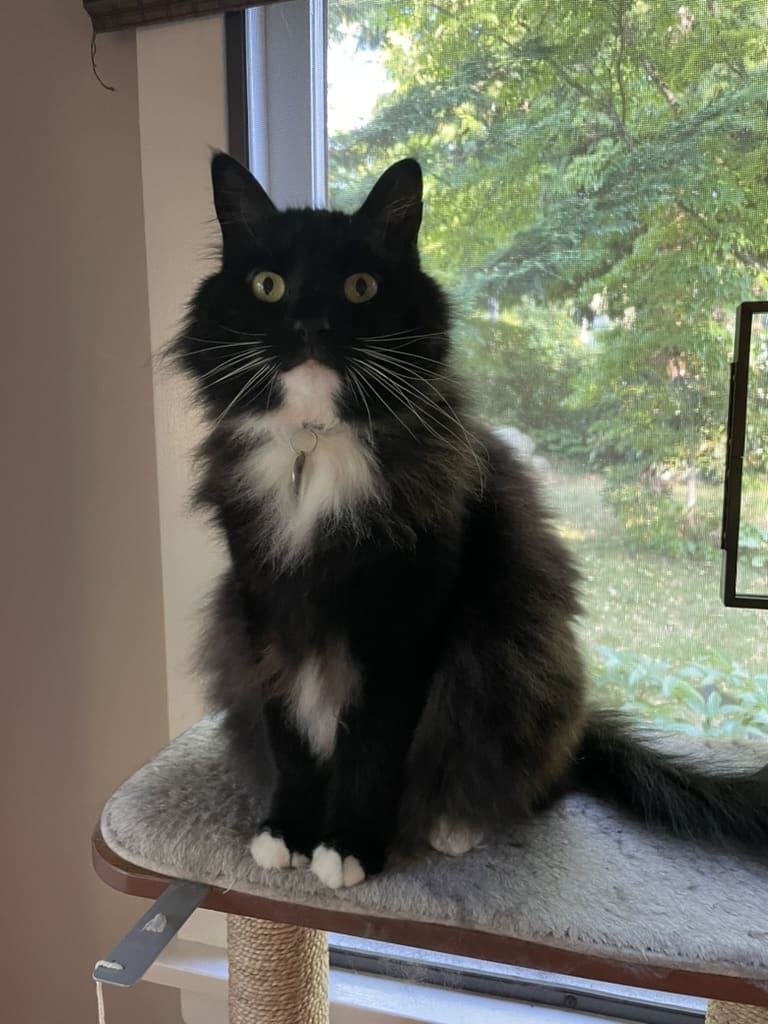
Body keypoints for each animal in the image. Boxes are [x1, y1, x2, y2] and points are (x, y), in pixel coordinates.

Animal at [173, 149, 768, 888]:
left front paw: (350, 846)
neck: (317, 445)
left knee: (542, 783)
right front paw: (286, 831)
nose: (310, 324)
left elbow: (372, 743)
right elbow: (289, 735)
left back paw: (456, 826)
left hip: (509, 661)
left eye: (361, 287)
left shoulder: (407, 614)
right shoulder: (263, 606)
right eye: (267, 285)